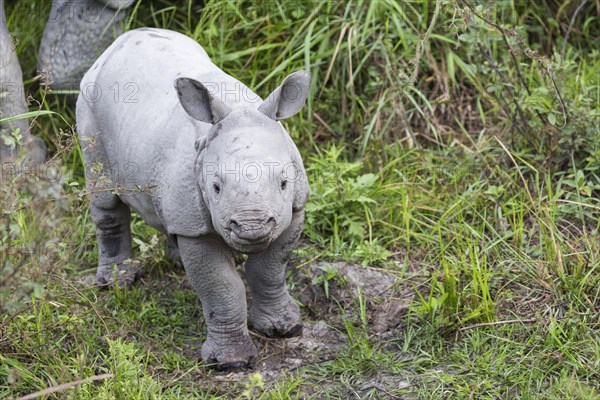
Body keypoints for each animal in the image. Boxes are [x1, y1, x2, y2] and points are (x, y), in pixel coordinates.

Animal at [76, 27, 310, 368]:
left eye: (283, 183)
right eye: (215, 187)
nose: (251, 228)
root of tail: (116, 44)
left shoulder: (293, 208)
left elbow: (269, 270)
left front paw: (285, 328)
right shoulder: (197, 230)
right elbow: (221, 286)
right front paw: (230, 362)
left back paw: (174, 261)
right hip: (88, 105)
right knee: (105, 194)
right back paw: (117, 282)